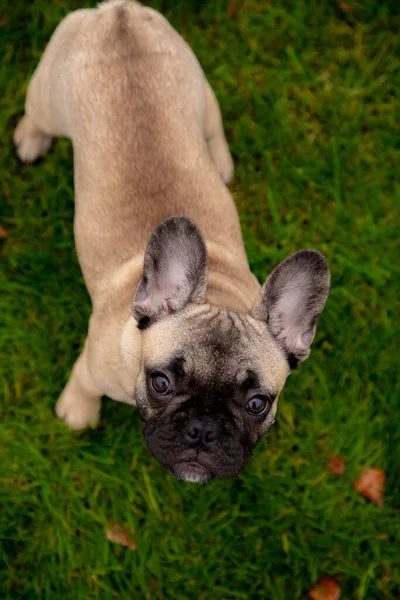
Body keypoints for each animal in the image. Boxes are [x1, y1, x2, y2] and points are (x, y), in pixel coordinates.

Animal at [13, 0, 332, 480]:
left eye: (258, 404)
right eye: (160, 383)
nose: (203, 430)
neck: (216, 291)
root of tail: (117, 13)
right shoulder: (91, 364)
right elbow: (82, 384)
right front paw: (77, 412)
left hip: (201, 91)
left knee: (213, 127)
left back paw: (220, 161)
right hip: (48, 96)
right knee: (37, 115)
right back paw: (30, 139)